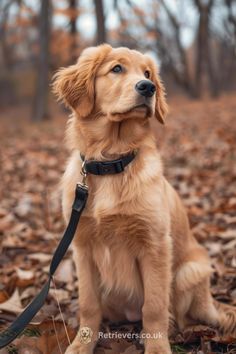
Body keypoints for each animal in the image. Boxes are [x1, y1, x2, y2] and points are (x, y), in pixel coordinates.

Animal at [53, 45, 236, 354]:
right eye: (116, 69)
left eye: (148, 73)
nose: (147, 87)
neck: (112, 162)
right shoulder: (82, 246)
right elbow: (89, 305)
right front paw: (81, 343)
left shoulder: (155, 245)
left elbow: (154, 307)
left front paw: (157, 347)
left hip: (190, 271)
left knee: (181, 318)